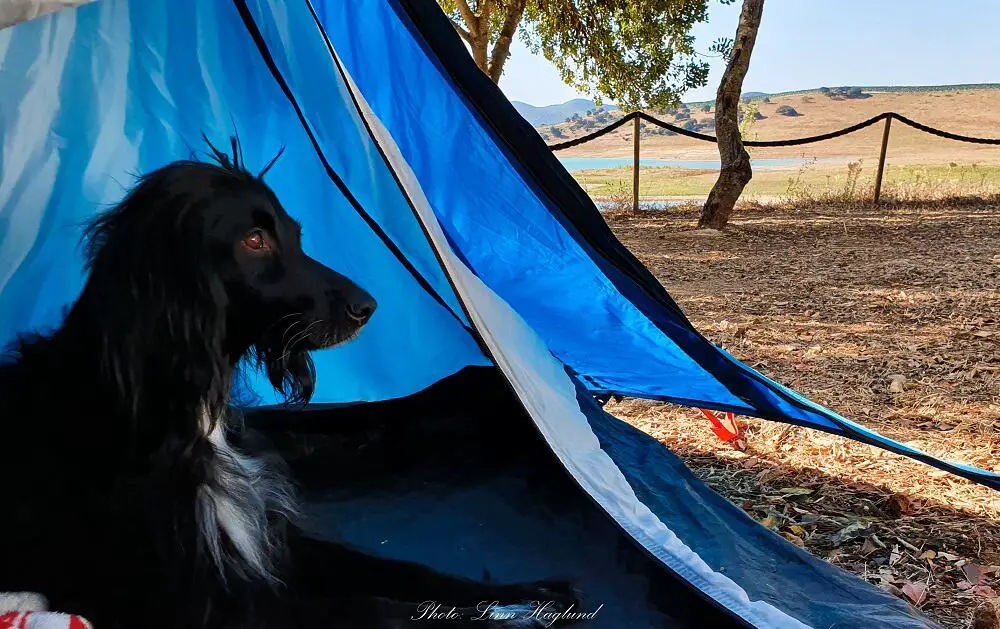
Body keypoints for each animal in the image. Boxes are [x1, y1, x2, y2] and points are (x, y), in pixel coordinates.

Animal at [0, 142, 576, 628]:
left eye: (296, 235)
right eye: (254, 240)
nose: (368, 307)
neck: (183, 412)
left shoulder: (272, 537)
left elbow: (404, 571)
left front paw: (526, 594)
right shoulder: (204, 603)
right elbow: (378, 610)